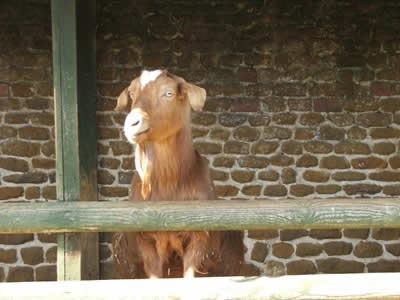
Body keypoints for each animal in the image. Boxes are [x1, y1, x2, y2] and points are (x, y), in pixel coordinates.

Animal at [111, 70, 244, 278]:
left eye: (169, 93)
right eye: (131, 93)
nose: (132, 123)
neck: (168, 186)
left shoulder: (199, 237)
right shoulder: (145, 238)